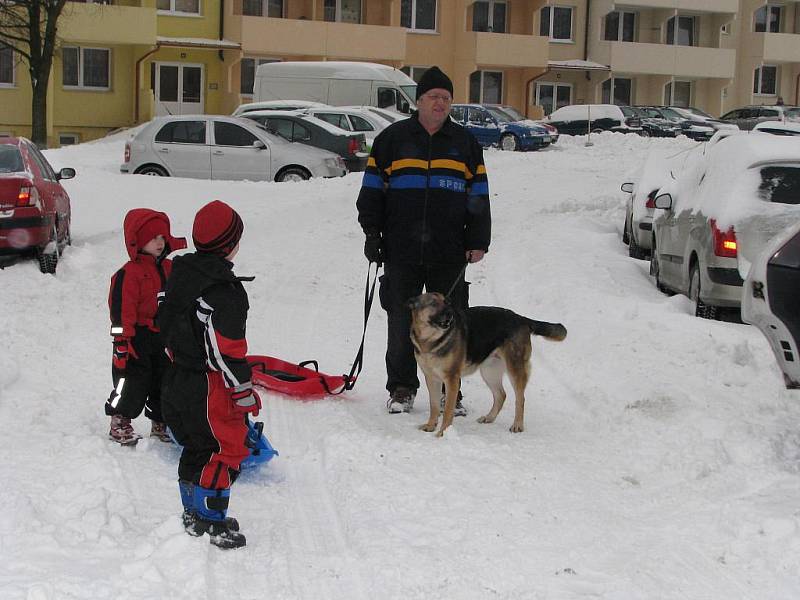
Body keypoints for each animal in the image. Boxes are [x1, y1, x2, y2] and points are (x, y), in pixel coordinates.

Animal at [410, 292, 564, 436]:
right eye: (433, 303)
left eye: (447, 302)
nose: (450, 314)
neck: (430, 340)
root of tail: (520, 318)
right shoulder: (431, 378)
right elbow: (434, 405)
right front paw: (431, 426)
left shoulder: (451, 379)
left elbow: (448, 410)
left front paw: (444, 432)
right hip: (489, 372)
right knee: (501, 395)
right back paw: (489, 417)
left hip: (515, 370)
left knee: (520, 399)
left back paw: (517, 425)